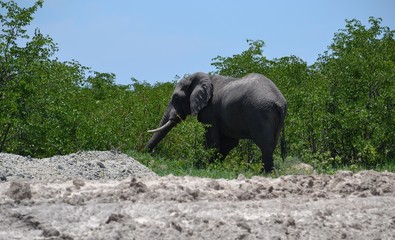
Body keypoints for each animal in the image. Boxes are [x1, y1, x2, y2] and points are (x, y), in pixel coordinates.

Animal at [145, 71, 288, 172]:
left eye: (176, 98)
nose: (145, 153)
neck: (206, 77)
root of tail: (280, 102)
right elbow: (229, 143)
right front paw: (214, 166)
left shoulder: (210, 110)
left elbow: (212, 141)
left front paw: (202, 167)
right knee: (271, 145)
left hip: (260, 112)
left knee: (265, 145)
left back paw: (265, 174)